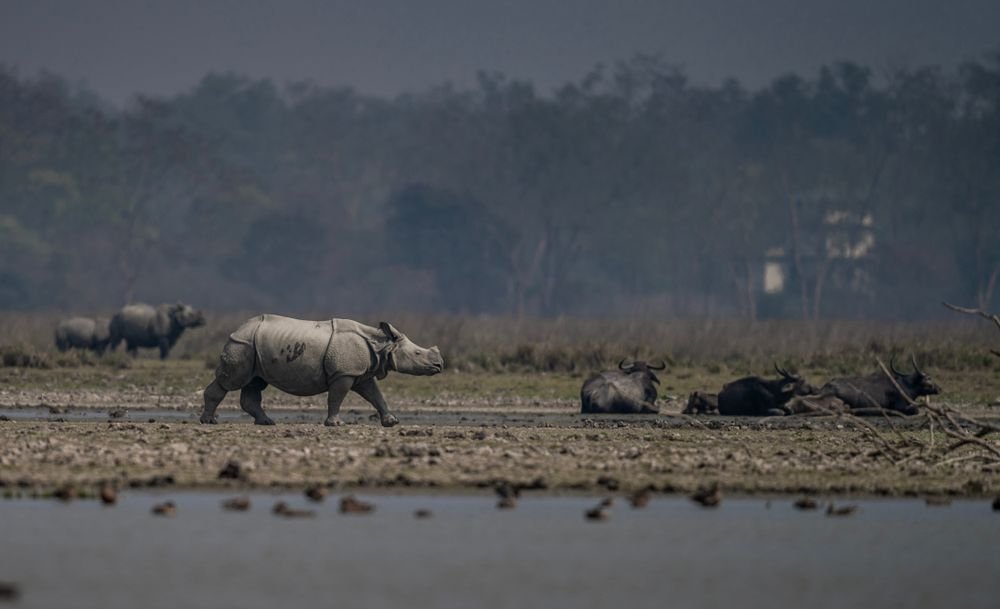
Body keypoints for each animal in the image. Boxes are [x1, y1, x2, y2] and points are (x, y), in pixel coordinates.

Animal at [200, 315, 443, 426]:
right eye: (418, 354)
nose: (440, 365)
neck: (381, 345)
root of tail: (238, 327)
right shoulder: (344, 373)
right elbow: (336, 397)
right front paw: (335, 424)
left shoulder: (360, 373)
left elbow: (376, 395)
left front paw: (391, 422)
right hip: (242, 344)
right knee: (231, 382)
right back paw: (209, 422)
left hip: (253, 347)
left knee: (255, 383)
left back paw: (267, 422)